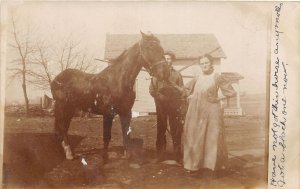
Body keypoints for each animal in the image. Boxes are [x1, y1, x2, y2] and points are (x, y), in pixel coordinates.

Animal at [51, 31, 166, 160]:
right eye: (150, 47)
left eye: (161, 48)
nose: (164, 72)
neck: (117, 80)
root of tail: (57, 79)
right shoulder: (108, 113)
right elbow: (107, 137)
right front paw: (105, 157)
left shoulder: (126, 112)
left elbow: (126, 134)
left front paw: (127, 155)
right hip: (62, 107)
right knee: (61, 128)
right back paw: (69, 153)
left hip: (69, 109)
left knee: (62, 128)